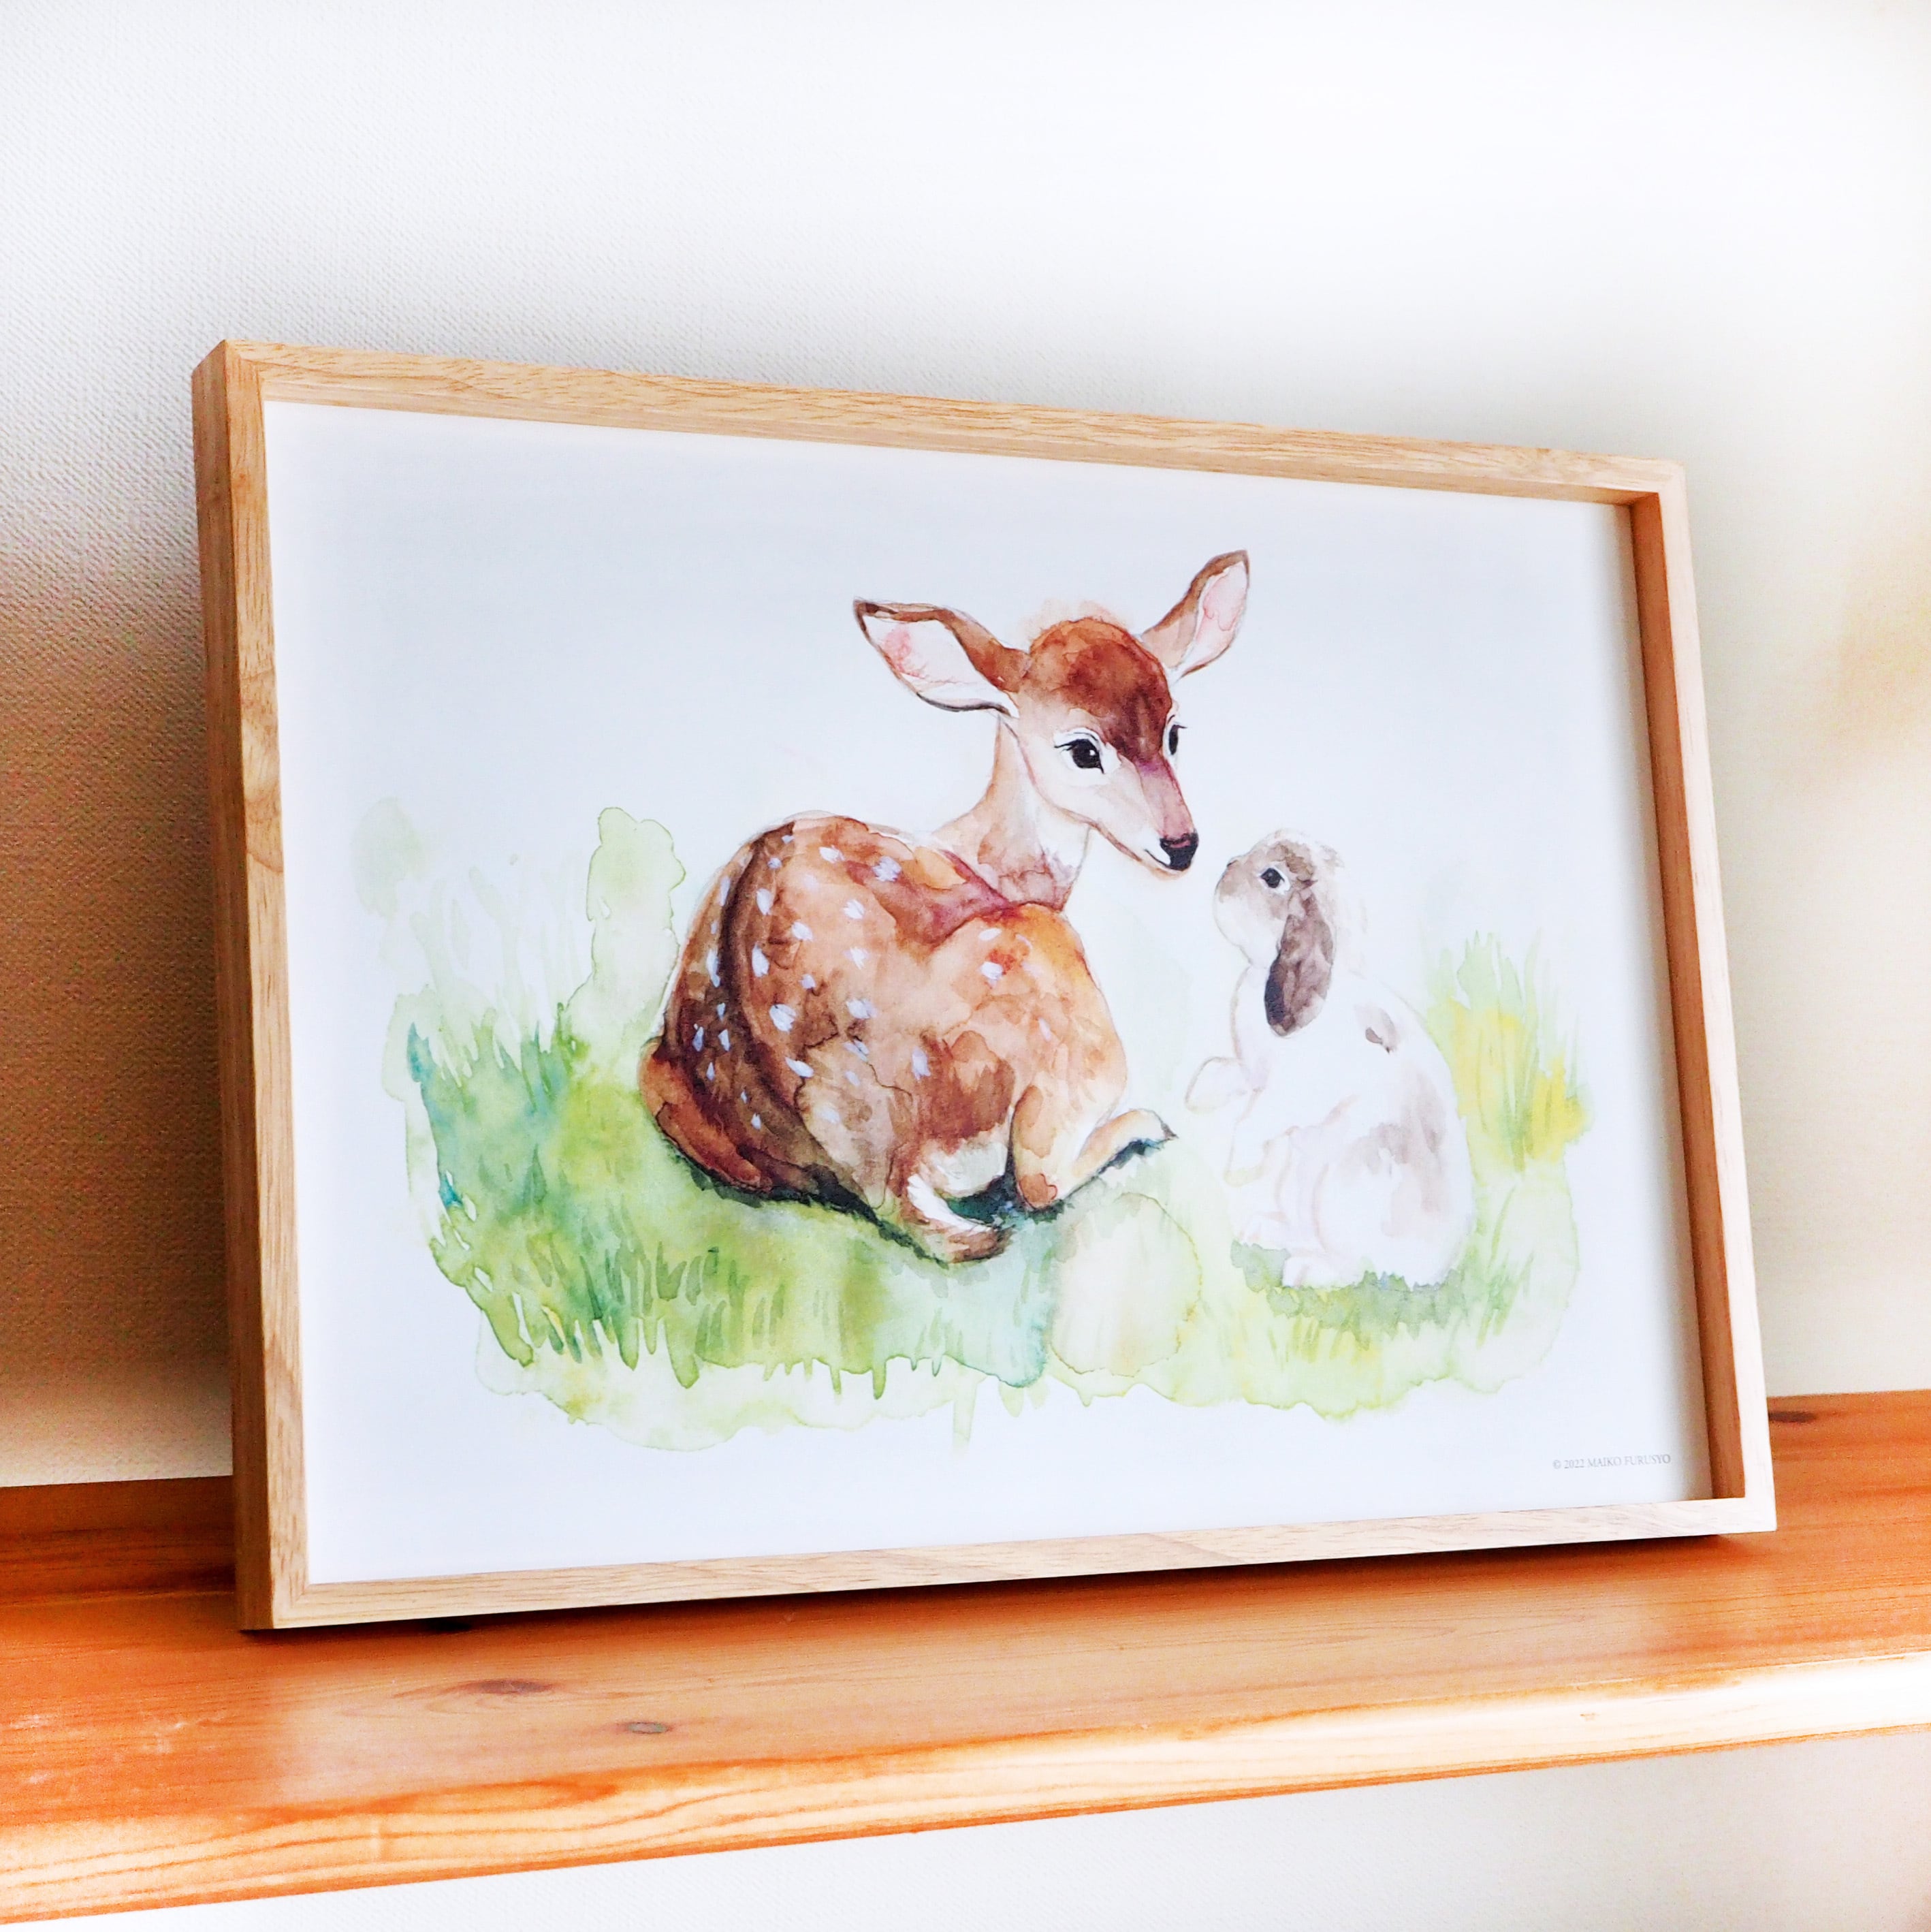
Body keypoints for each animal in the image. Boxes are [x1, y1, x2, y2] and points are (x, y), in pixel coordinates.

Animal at [641, 551, 1249, 1263]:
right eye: (1083, 749)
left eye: (1175, 733)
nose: (1182, 844)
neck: (995, 861)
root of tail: (885, 1170)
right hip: (1062, 995)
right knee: (1037, 1177)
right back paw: (1144, 1124)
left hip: (659, 1077)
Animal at [1187, 833, 1475, 1290]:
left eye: (1273, 878)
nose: (1226, 869)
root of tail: (1437, 1265)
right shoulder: (1257, 1071)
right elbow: (1238, 1075)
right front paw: (1200, 1091)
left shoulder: (1297, 1091)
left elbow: (1255, 1119)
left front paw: (1239, 1169)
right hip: (1299, 1183)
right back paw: (1264, 1229)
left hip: (1345, 1186)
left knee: (1360, 1267)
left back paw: (1306, 1270)